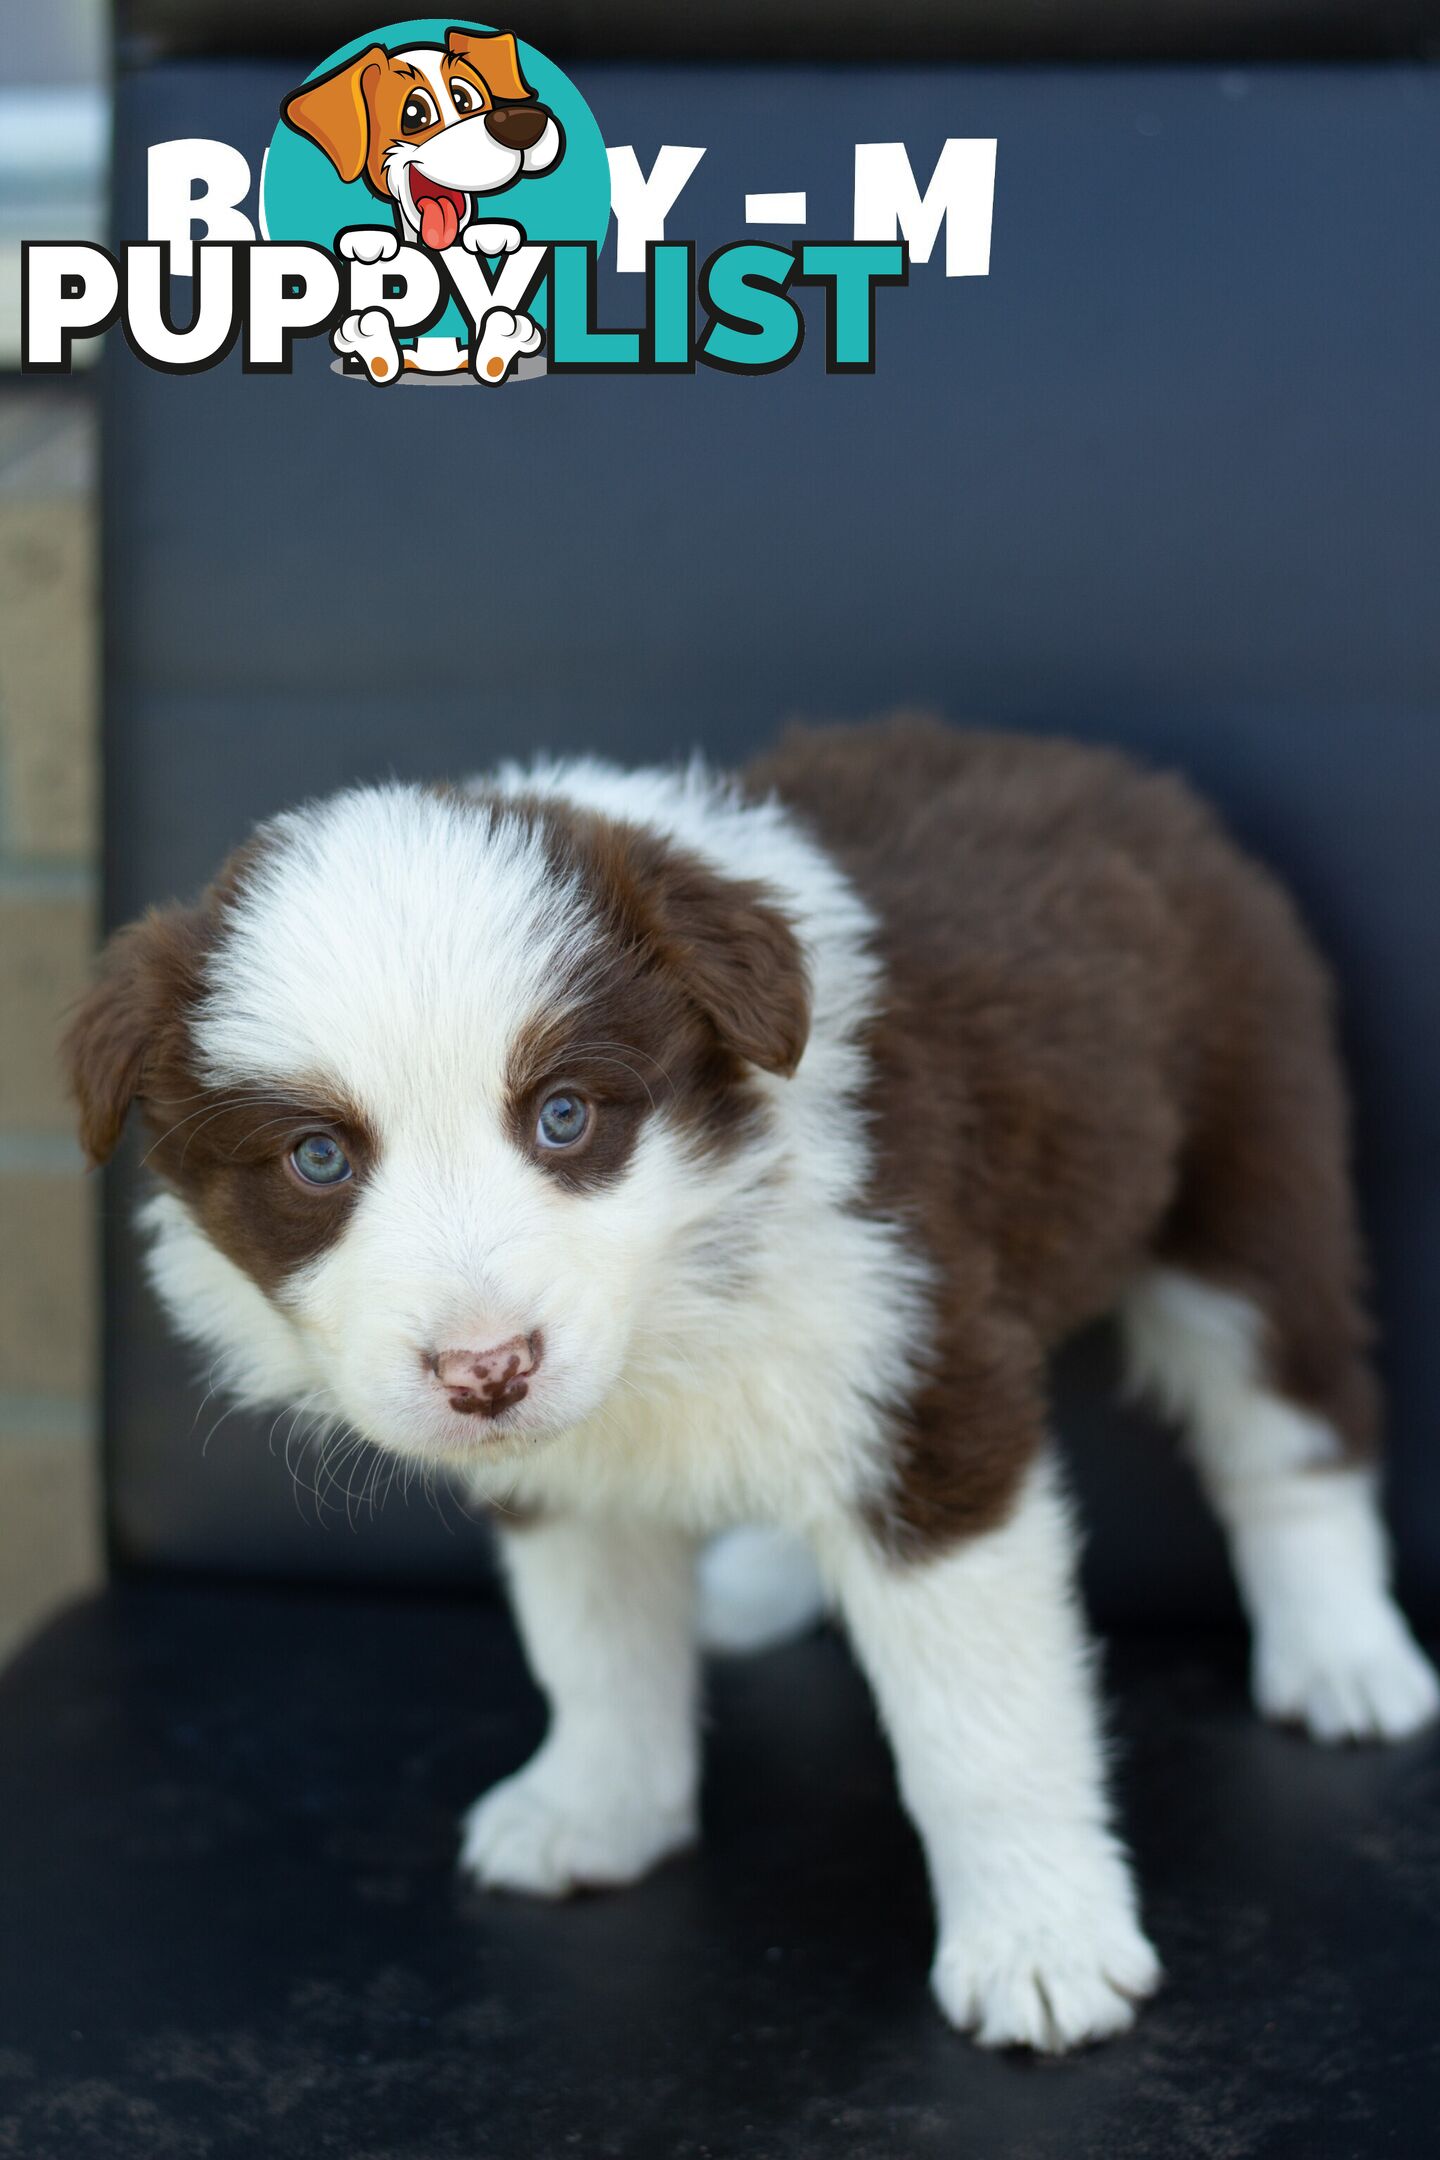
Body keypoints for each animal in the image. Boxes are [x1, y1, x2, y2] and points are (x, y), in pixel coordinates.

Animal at [70, 721, 1440, 2039]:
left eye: (565, 1117)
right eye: (317, 1158)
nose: (486, 1372)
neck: (676, 1280)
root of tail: (1132, 779)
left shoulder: (927, 1387)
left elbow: (983, 1718)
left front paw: (1040, 1942)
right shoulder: (581, 1464)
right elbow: (595, 1640)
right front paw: (600, 1808)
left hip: (1249, 1174)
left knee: (1292, 1428)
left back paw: (1343, 1656)